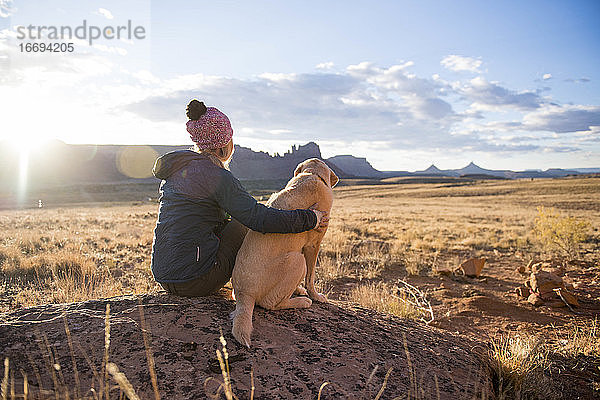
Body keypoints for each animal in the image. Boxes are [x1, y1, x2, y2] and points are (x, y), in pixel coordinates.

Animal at [232, 158, 340, 346]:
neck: (312, 175)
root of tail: (243, 294)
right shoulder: (313, 245)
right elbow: (311, 277)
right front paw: (316, 296)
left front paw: (300, 289)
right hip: (298, 260)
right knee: (269, 304)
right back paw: (303, 301)